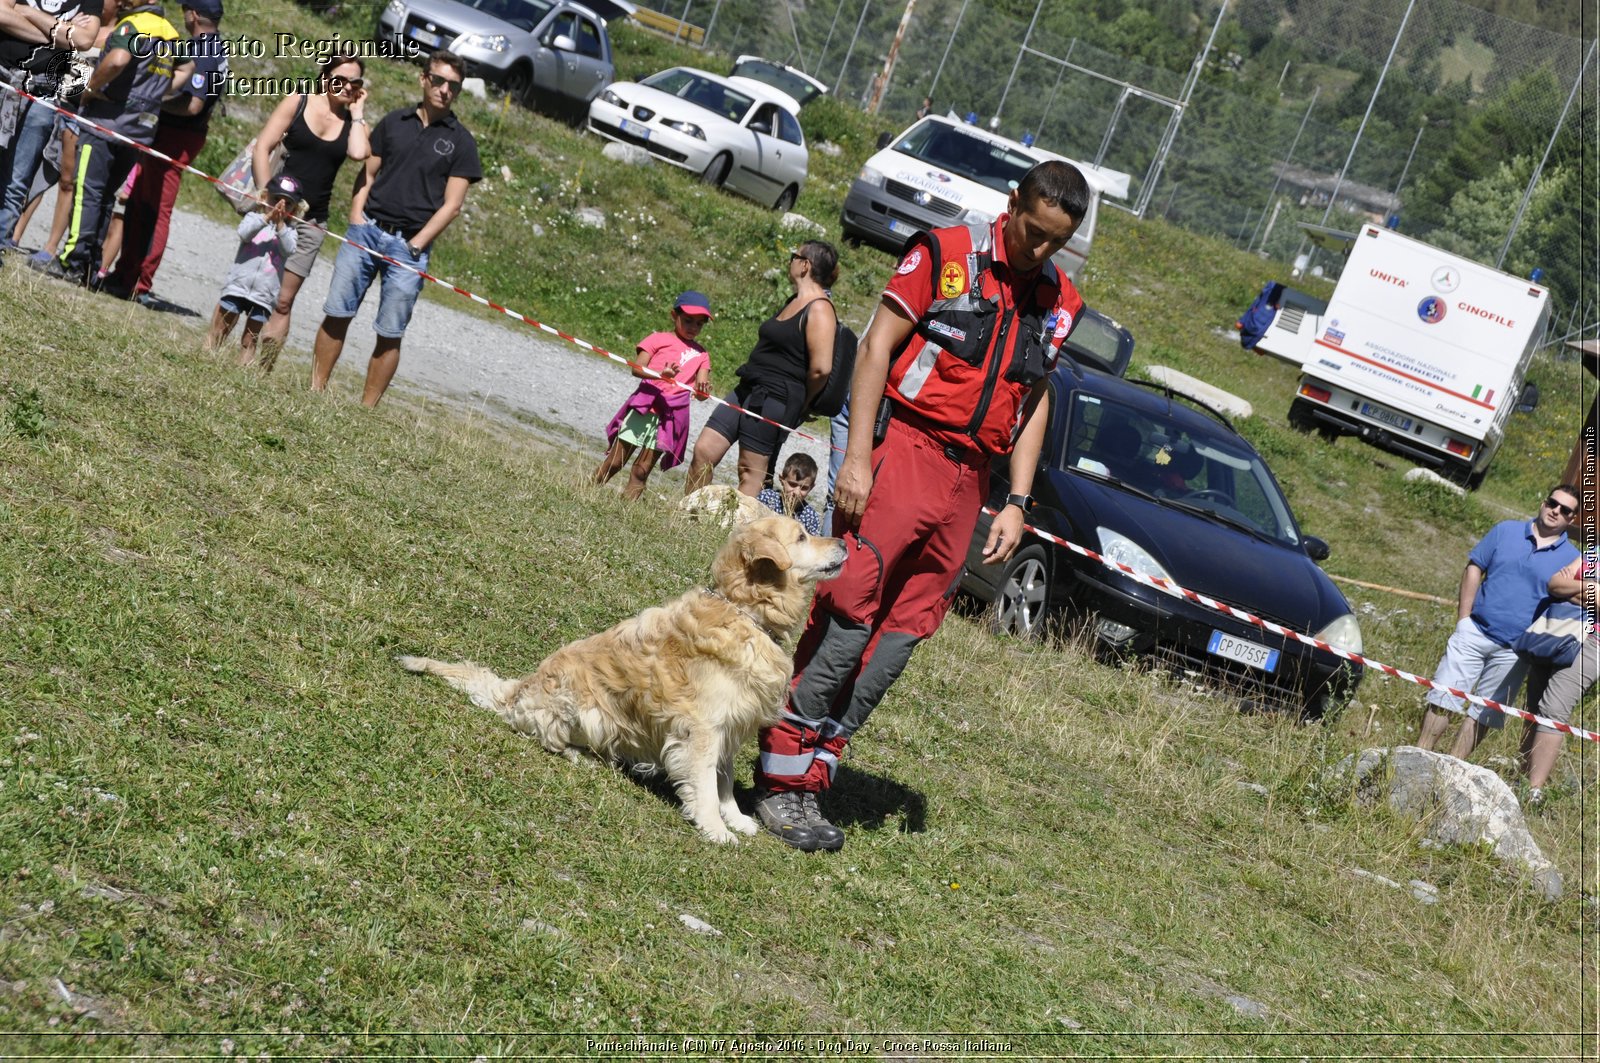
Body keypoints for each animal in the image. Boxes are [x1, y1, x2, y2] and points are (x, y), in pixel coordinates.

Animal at [400, 515, 851, 845]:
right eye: (802, 535)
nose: (847, 543)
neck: (746, 612)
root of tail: (518, 688)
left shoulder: (732, 726)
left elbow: (722, 780)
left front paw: (735, 818)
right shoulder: (702, 729)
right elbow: (705, 783)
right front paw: (715, 828)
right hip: (582, 708)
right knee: (548, 737)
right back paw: (581, 756)